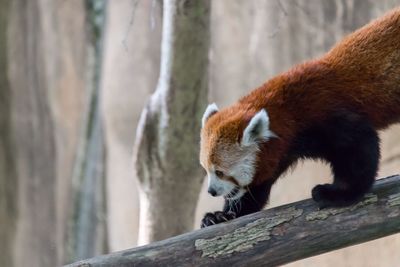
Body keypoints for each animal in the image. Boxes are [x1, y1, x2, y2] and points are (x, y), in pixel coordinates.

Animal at [200, 7, 400, 228]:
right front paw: (220, 215)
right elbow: (255, 190)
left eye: (220, 172)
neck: (288, 113)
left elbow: (359, 148)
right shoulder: (277, 153)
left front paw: (336, 193)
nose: (212, 191)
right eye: (206, 169)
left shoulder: (326, 114)